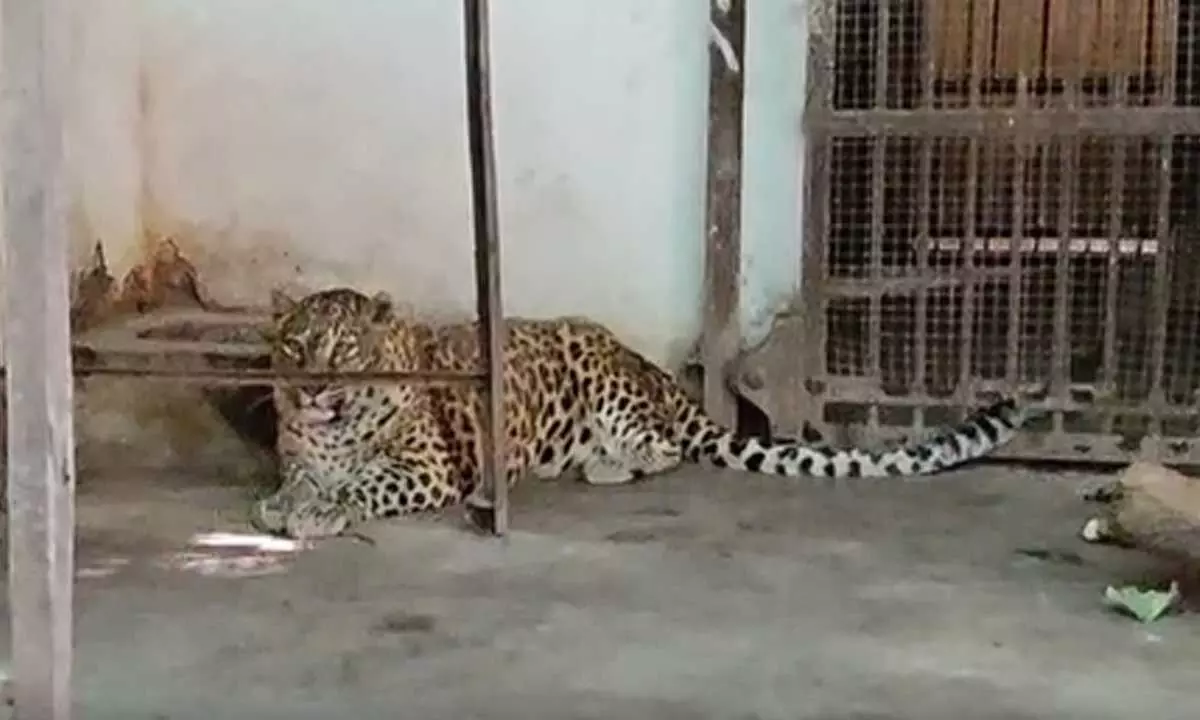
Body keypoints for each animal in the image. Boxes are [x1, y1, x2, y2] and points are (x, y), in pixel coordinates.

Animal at [254, 287, 1047, 540]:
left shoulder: (431, 465)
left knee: (663, 448)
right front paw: (283, 504)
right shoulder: (303, 454)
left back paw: (606, 467)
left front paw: (319, 513)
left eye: (346, 350)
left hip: (601, 377)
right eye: (295, 346)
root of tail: (658, 372)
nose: (313, 391)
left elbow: (366, 483)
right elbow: (303, 477)